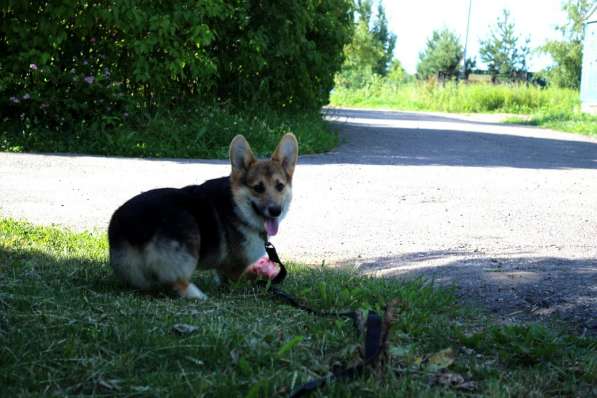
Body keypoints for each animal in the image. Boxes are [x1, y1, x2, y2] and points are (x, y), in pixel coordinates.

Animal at [107, 134, 298, 298]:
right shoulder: (235, 267)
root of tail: (133, 226)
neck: (238, 206)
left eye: (280, 186)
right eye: (258, 188)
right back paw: (197, 294)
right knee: (177, 282)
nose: (275, 210)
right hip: (188, 231)